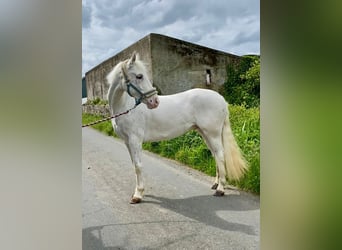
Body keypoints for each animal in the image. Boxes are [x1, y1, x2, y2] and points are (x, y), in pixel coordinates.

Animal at [105, 52, 247, 203]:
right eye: (139, 76)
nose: (155, 102)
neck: (125, 107)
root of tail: (221, 99)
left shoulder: (135, 140)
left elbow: (138, 166)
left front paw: (138, 195)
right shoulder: (127, 142)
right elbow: (134, 165)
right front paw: (138, 192)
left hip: (212, 133)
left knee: (220, 155)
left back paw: (220, 189)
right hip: (205, 134)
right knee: (215, 154)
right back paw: (215, 184)